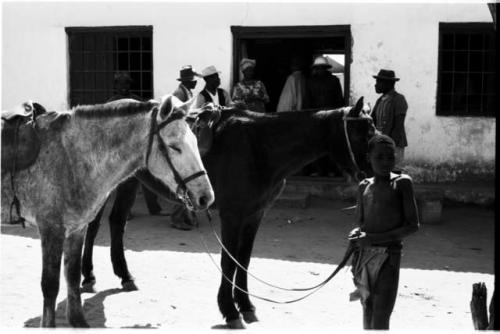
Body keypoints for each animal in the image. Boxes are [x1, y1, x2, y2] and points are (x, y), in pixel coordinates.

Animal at [0, 95, 213, 328]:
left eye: (195, 141)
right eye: (174, 147)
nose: (206, 197)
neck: (69, 157)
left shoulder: (76, 229)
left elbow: (72, 277)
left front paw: (78, 321)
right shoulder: (51, 230)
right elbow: (50, 285)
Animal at [82, 97, 374, 328]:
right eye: (363, 134)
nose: (372, 177)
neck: (260, 147)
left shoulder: (255, 214)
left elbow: (243, 260)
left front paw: (245, 305)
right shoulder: (232, 214)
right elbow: (228, 261)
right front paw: (230, 310)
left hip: (128, 182)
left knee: (117, 223)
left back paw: (125, 276)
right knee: (93, 226)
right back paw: (89, 276)